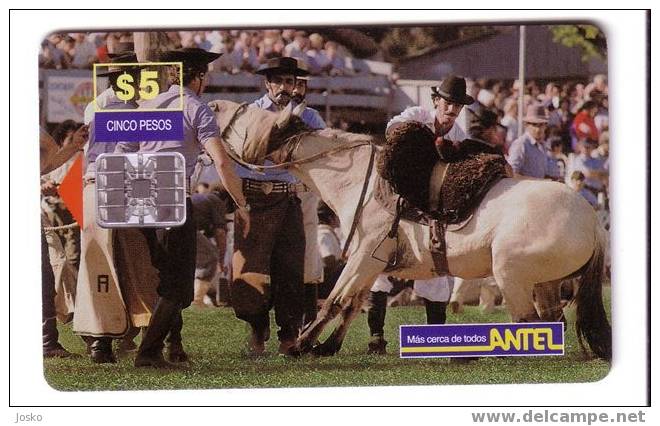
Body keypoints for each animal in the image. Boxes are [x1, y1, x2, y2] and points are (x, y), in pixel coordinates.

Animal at [211, 99, 612, 360]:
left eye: (247, 115)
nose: (214, 104)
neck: (365, 182)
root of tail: (593, 220)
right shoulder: (372, 263)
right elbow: (354, 302)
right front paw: (327, 346)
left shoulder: (365, 255)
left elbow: (337, 300)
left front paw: (300, 344)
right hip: (544, 282)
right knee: (552, 319)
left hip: (510, 274)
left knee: (529, 322)